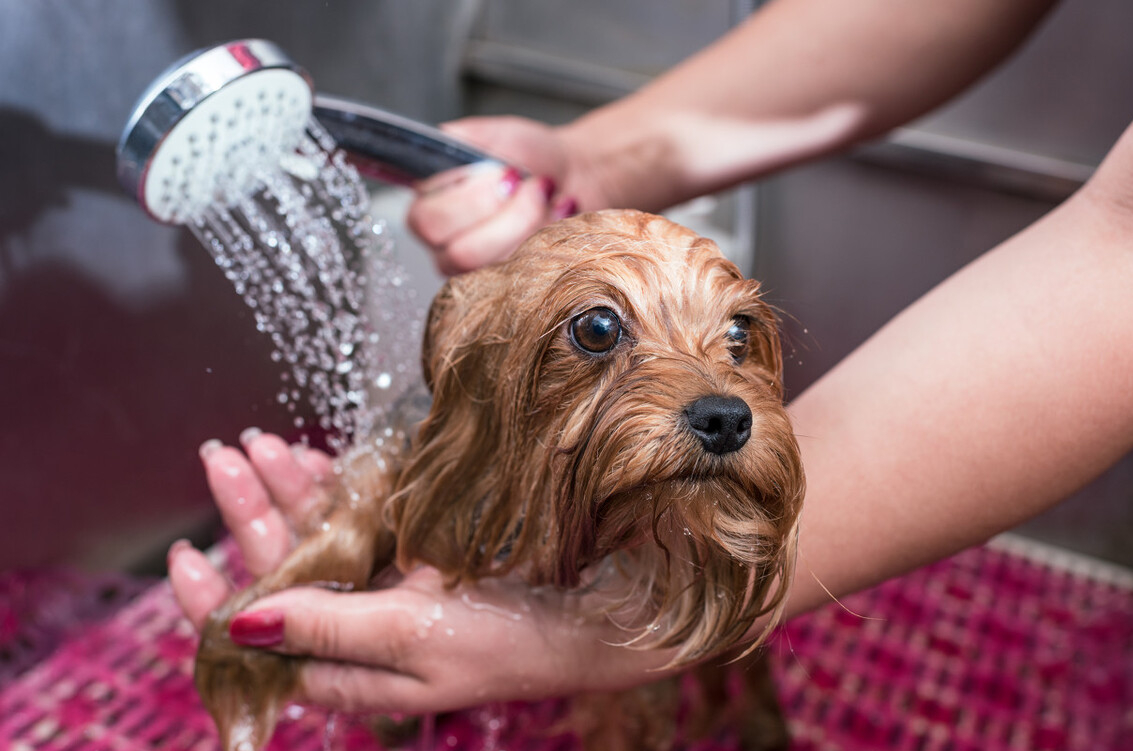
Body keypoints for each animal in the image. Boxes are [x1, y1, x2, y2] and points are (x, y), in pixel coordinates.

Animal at [199, 209, 811, 751]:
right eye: (597, 327)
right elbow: (339, 542)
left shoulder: (627, 692)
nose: (727, 418)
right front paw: (242, 644)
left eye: (740, 332)